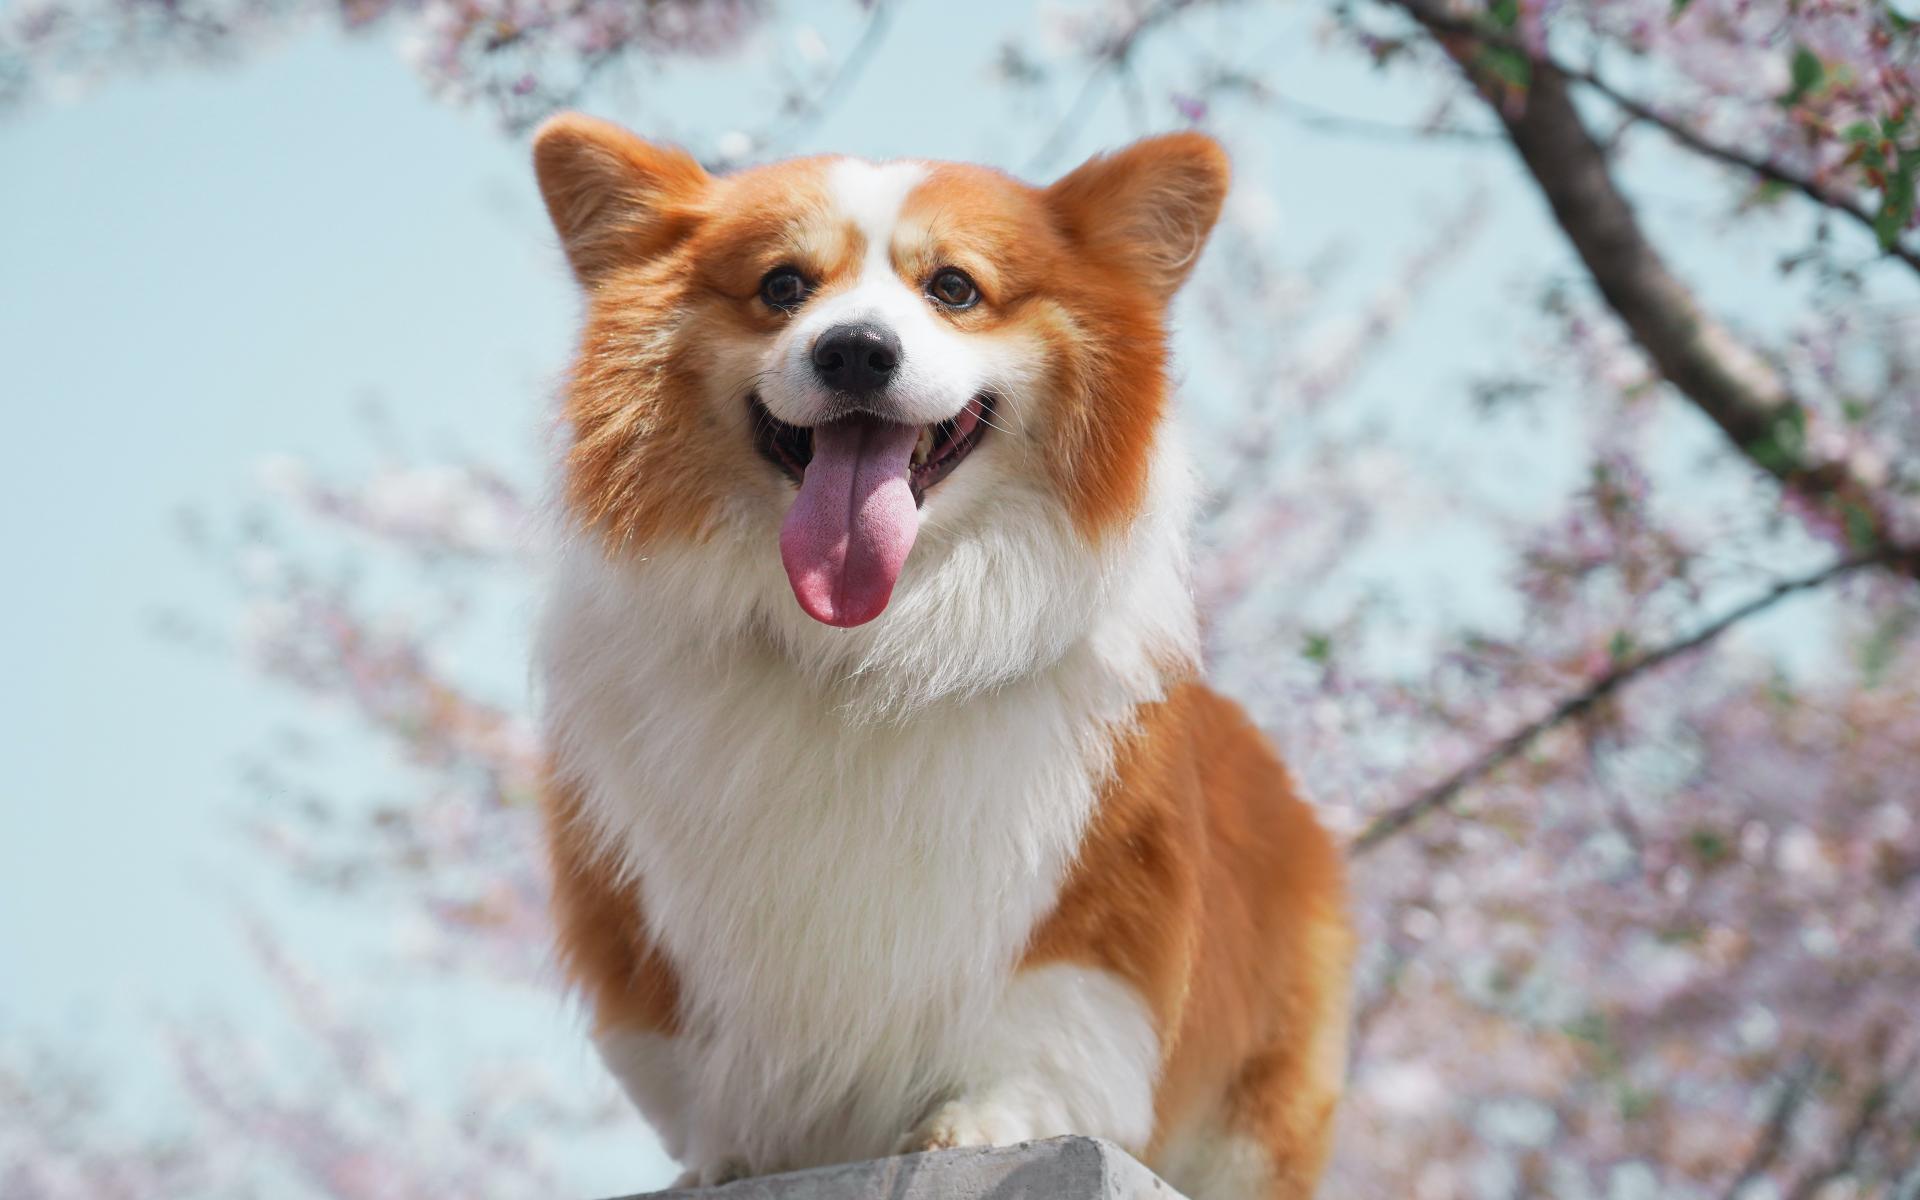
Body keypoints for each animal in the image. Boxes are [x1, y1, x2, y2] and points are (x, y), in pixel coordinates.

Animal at [533, 114, 1359, 1198]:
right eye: (783, 286)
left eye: (955, 287)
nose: (854, 350)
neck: (862, 649)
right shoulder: (652, 927)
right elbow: (711, 1073)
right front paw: (724, 1161)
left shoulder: (1090, 904)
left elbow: (1036, 1032)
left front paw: (974, 1126)